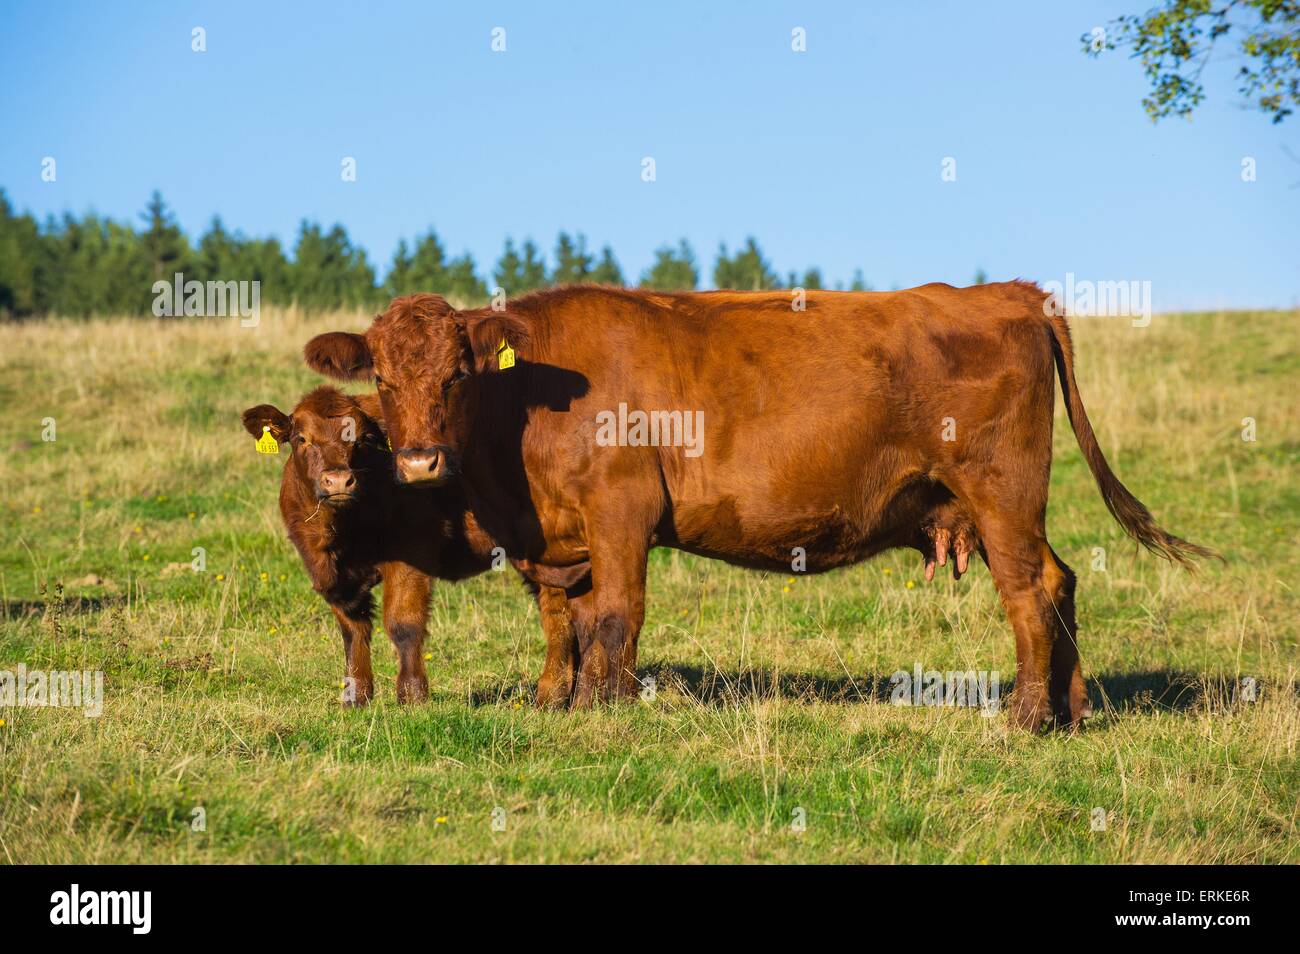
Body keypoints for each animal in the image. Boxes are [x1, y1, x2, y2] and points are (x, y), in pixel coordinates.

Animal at [241, 386, 584, 707]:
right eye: (301, 438)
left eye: (362, 440)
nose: (338, 481)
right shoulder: (332, 578)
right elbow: (353, 631)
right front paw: (355, 697)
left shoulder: (411, 552)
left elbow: (403, 622)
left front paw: (412, 695)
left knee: (558, 615)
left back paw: (551, 696)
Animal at [303, 282, 1212, 729]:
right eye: (383, 377)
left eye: (457, 373)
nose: (418, 459)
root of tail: (1008, 291)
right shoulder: (564, 537)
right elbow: (571, 620)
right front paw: (557, 701)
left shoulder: (621, 509)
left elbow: (617, 615)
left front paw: (605, 708)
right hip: (991, 507)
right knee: (1060, 582)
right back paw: (1073, 709)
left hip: (1001, 492)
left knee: (1029, 591)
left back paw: (1025, 717)